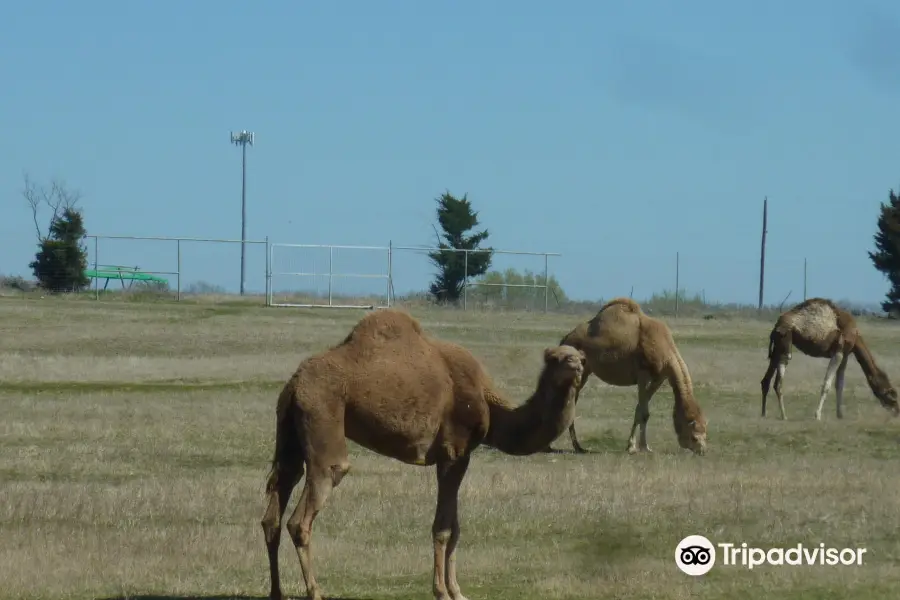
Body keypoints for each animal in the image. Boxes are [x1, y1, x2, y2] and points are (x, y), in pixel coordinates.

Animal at [256, 310, 588, 600]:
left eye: (580, 356)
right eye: (555, 358)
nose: (577, 365)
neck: (489, 404)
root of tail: (295, 383)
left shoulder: (458, 456)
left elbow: (455, 527)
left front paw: (457, 591)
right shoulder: (454, 452)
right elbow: (443, 528)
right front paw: (442, 591)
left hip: (289, 427)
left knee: (276, 504)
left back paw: (277, 592)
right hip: (323, 413)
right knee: (308, 507)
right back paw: (315, 592)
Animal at [544, 298, 708, 458]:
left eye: (705, 434)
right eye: (694, 437)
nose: (702, 451)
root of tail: (565, 339)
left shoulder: (659, 377)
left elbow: (640, 410)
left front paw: (639, 446)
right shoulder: (643, 374)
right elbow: (643, 412)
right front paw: (637, 447)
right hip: (580, 371)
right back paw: (574, 446)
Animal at [760, 296, 900, 420]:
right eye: (891, 394)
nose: (897, 411)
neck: (855, 336)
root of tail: (776, 326)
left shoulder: (845, 354)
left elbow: (839, 384)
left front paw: (840, 415)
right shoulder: (838, 351)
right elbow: (826, 385)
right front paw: (817, 416)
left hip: (777, 347)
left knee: (766, 379)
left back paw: (763, 413)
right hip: (785, 341)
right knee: (778, 382)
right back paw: (784, 416)